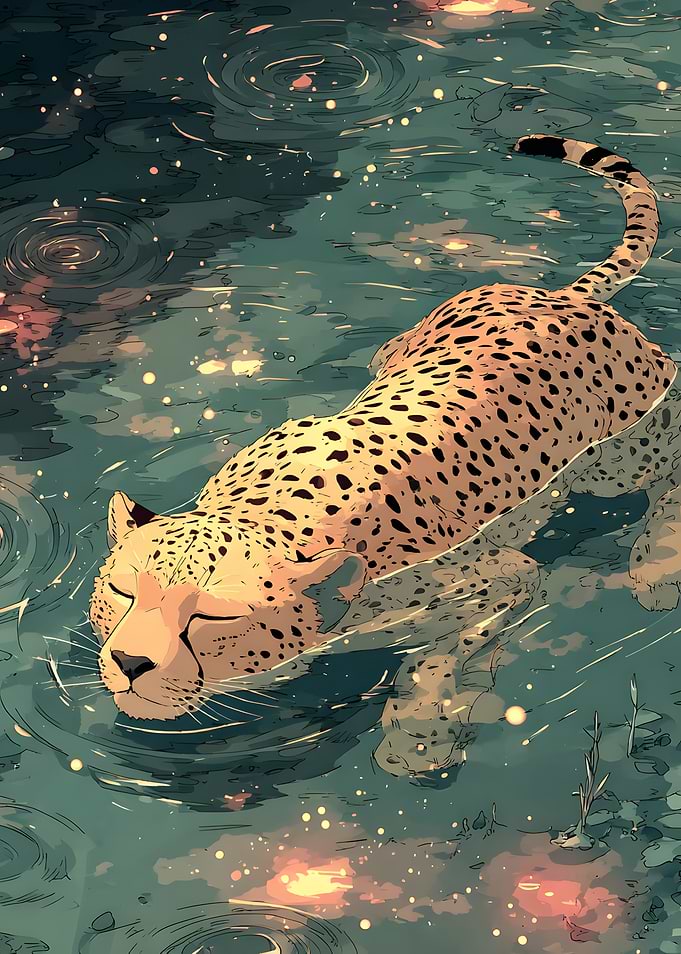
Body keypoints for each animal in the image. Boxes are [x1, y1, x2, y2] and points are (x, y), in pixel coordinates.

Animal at [89, 134, 677, 724]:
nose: (129, 662)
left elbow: (438, 656)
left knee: (667, 465)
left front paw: (419, 727)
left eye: (212, 618)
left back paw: (657, 569)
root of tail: (562, 297)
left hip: (620, 451)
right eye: (122, 591)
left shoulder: (504, 578)